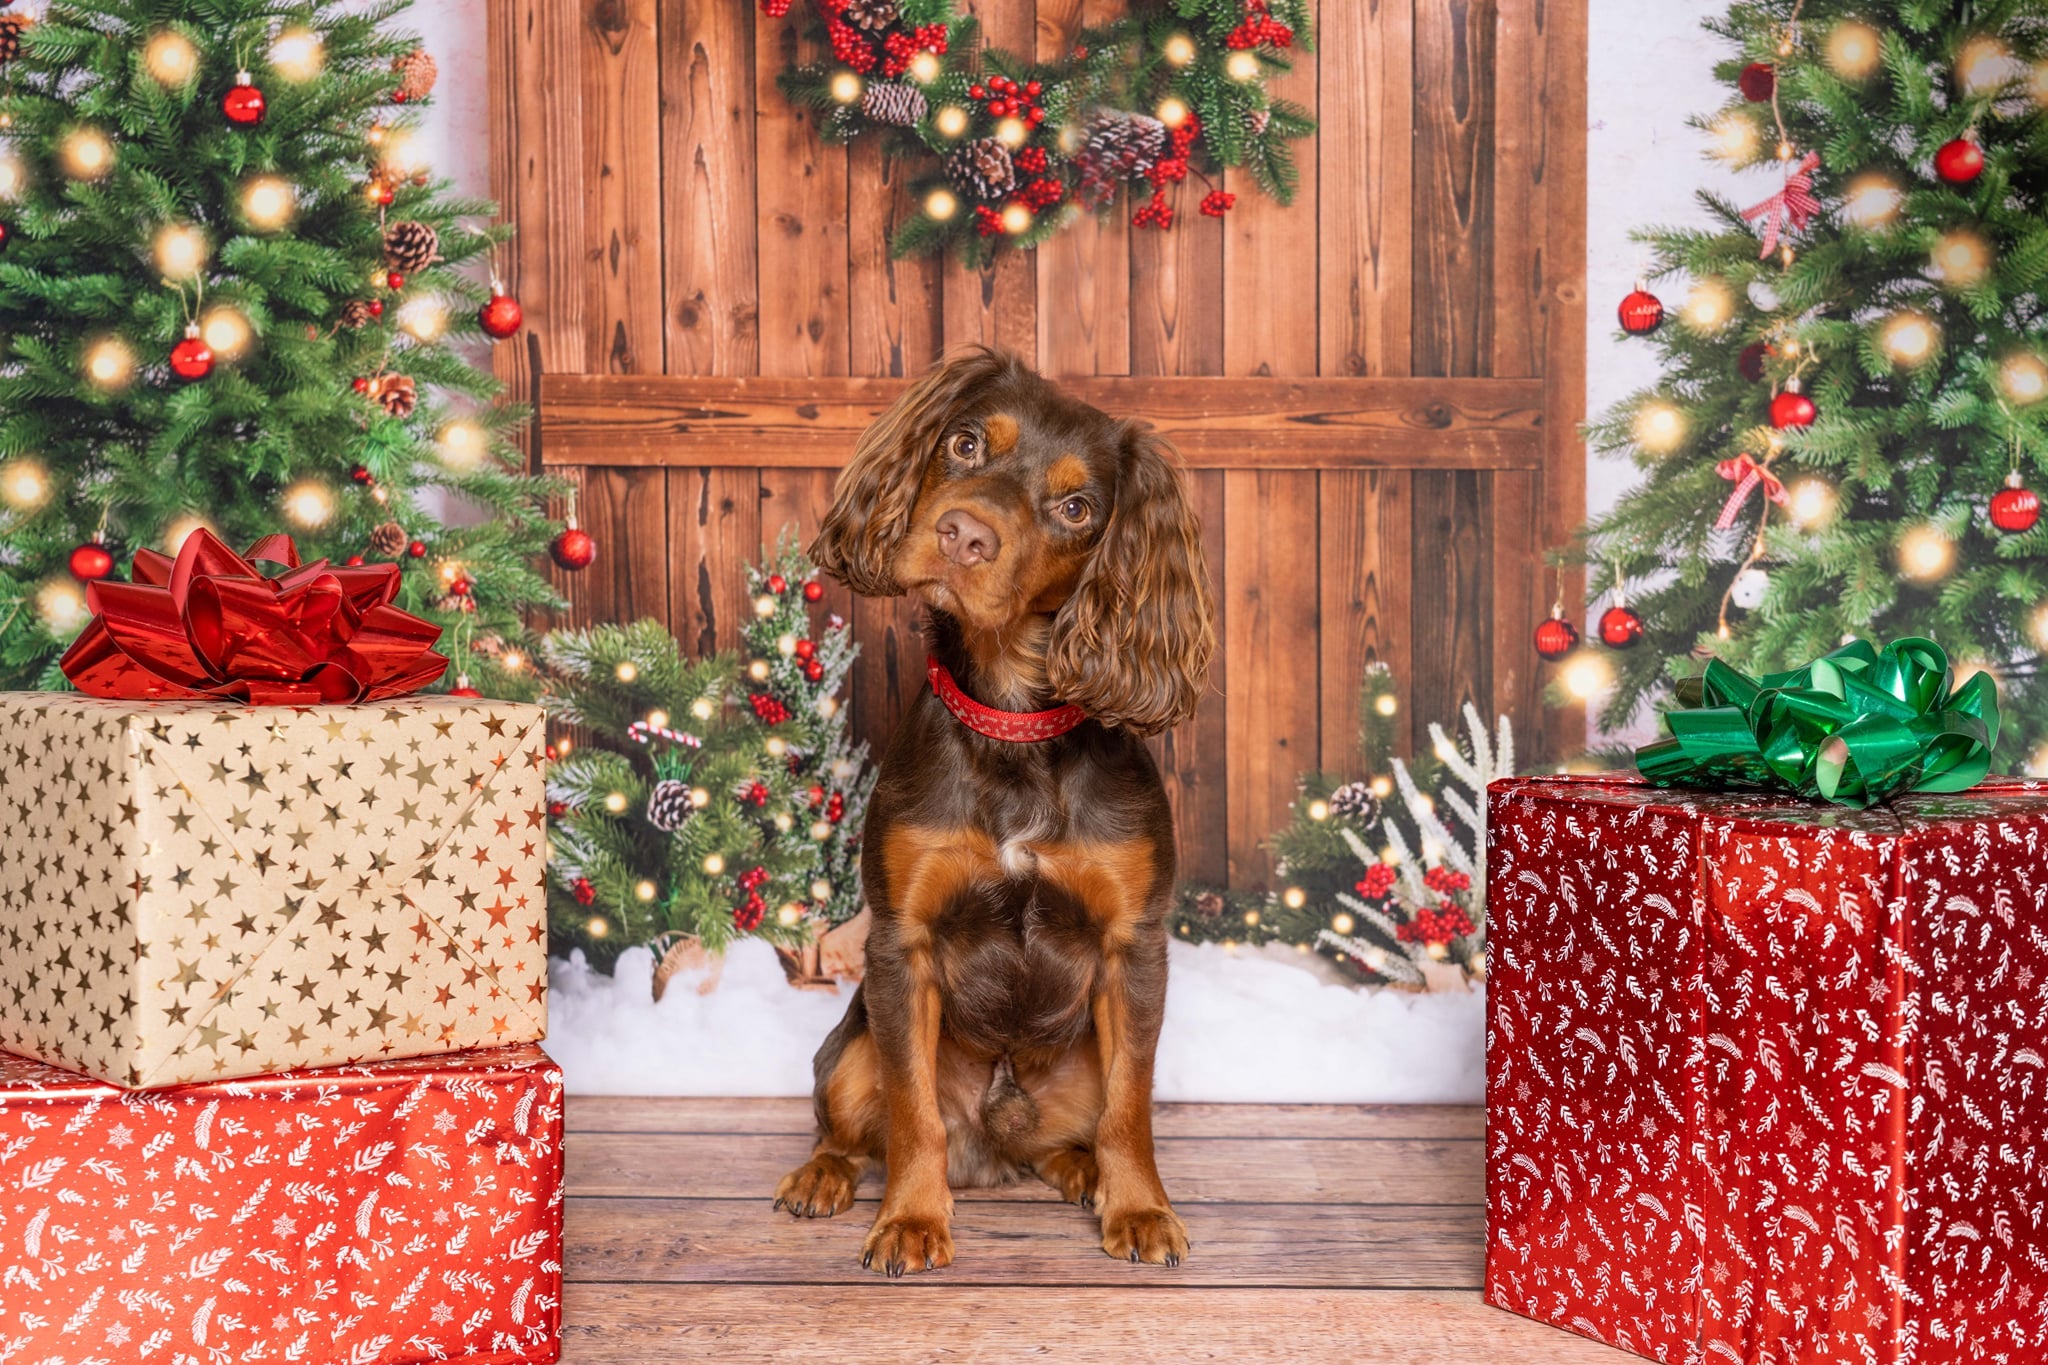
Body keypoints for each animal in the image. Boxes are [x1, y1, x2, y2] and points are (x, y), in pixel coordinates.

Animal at [770, 347, 1212, 1277]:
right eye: (967, 443)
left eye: (1078, 509)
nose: (963, 536)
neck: (1013, 723)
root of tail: (992, 1154)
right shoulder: (900, 944)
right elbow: (911, 1112)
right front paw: (910, 1218)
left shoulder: (1134, 947)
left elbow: (1131, 1109)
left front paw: (1140, 1207)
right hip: (849, 1044)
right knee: (851, 1125)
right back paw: (824, 1174)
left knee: (1073, 1131)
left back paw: (1083, 1172)